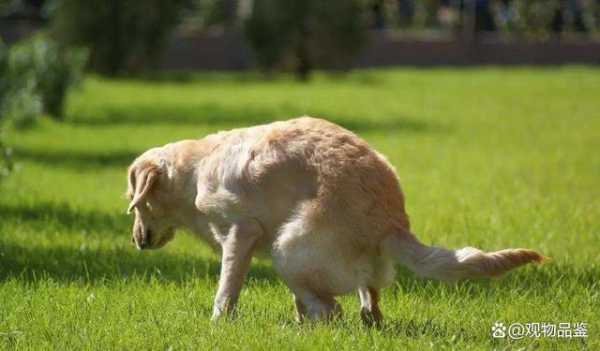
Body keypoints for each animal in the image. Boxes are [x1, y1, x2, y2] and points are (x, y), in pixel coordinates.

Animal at [126, 117, 544, 326]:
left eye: (136, 203)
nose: (135, 241)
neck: (194, 171)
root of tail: (391, 222)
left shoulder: (241, 233)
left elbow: (226, 291)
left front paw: (218, 323)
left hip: (286, 250)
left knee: (331, 308)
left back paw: (307, 325)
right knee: (365, 298)